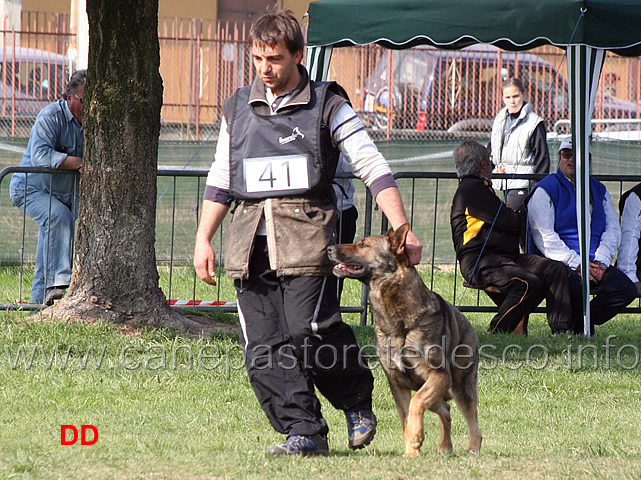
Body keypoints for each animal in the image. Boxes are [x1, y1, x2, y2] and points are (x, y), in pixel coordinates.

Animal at [328, 223, 478, 456]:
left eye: (362, 244)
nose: (328, 248)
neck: (399, 324)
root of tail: (465, 320)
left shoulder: (438, 376)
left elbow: (416, 404)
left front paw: (416, 437)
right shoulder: (397, 384)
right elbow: (406, 419)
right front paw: (411, 451)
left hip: (460, 385)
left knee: (472, 421)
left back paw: (472, 450)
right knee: (445, 410)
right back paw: (444, 447)